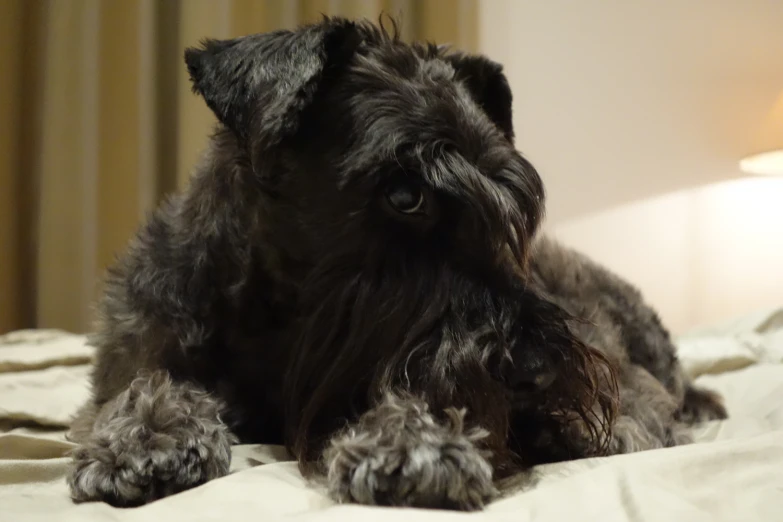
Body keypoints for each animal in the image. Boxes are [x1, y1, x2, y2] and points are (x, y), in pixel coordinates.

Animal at [67, 16, 728, 508]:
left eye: (514, 201)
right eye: (404, 194)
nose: (538, 372)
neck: (274, 326)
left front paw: (412, 440)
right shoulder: (136, 347)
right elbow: (136, 387)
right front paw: (149, 433)